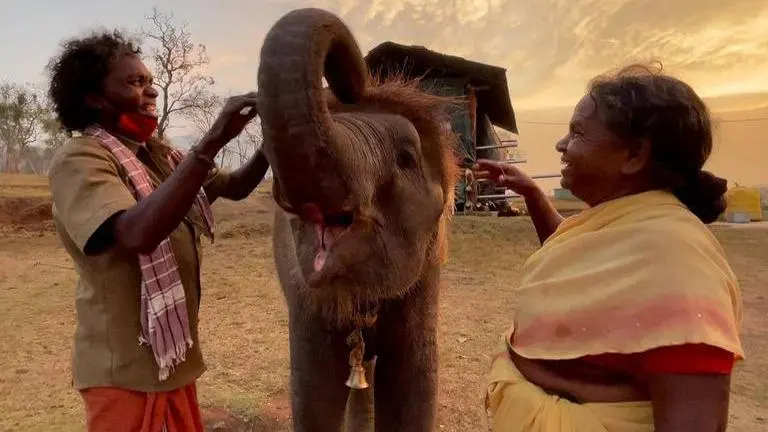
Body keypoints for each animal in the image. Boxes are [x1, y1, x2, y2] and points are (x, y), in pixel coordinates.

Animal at [257, 8, 460, 431]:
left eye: (406, 158)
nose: (350, 81)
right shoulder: (305, 300)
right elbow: (313, 392)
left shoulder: (426, 277)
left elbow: (413, 386)